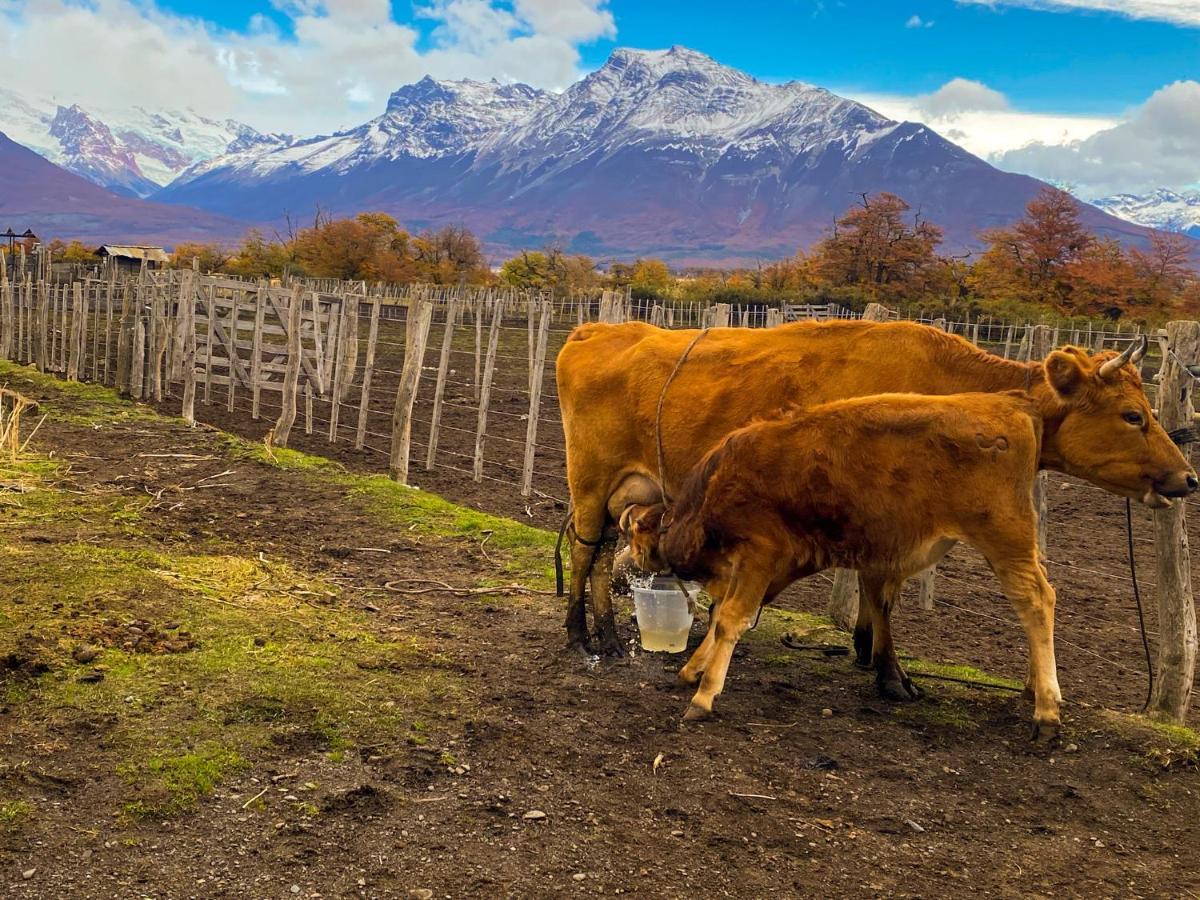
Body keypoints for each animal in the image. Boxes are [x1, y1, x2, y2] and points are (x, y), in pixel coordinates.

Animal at [556, 321, 1108, 657]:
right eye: (1125, 414)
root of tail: (597, 329)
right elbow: (875, 582)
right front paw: (872, 652)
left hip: (625, 492)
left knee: (603, 556)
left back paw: (608, 635)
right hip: (589, 483)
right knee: (584, 554)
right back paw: (579, 634)